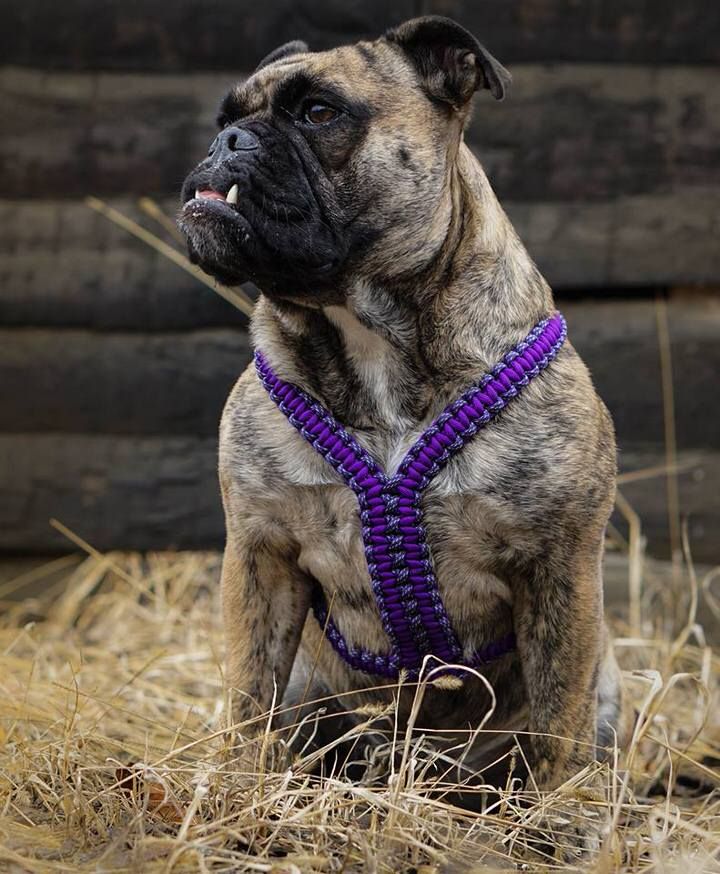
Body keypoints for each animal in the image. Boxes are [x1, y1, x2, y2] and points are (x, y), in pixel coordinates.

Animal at [180, 11, 632, 844]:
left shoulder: (559, 566)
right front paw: (236, 798)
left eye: (318, 112)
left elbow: (561, 716)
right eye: (227, 115)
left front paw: (557, 821)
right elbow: (247, 698)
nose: (228, 140)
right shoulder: (261, 554)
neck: (368, 337)